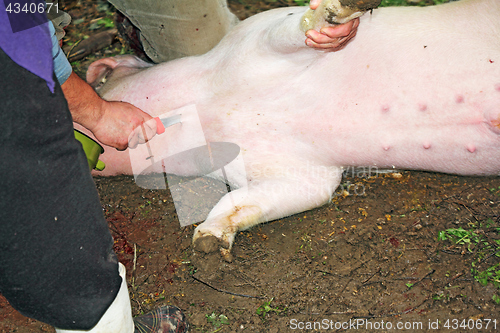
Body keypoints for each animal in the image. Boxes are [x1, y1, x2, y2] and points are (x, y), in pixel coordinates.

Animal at [84, 0, 500, 260]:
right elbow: (254, 199)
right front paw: (208, 243)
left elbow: (292, 29)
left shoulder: (257, 34)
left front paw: (337, 14)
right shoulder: (301, 172)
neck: (211, 113)